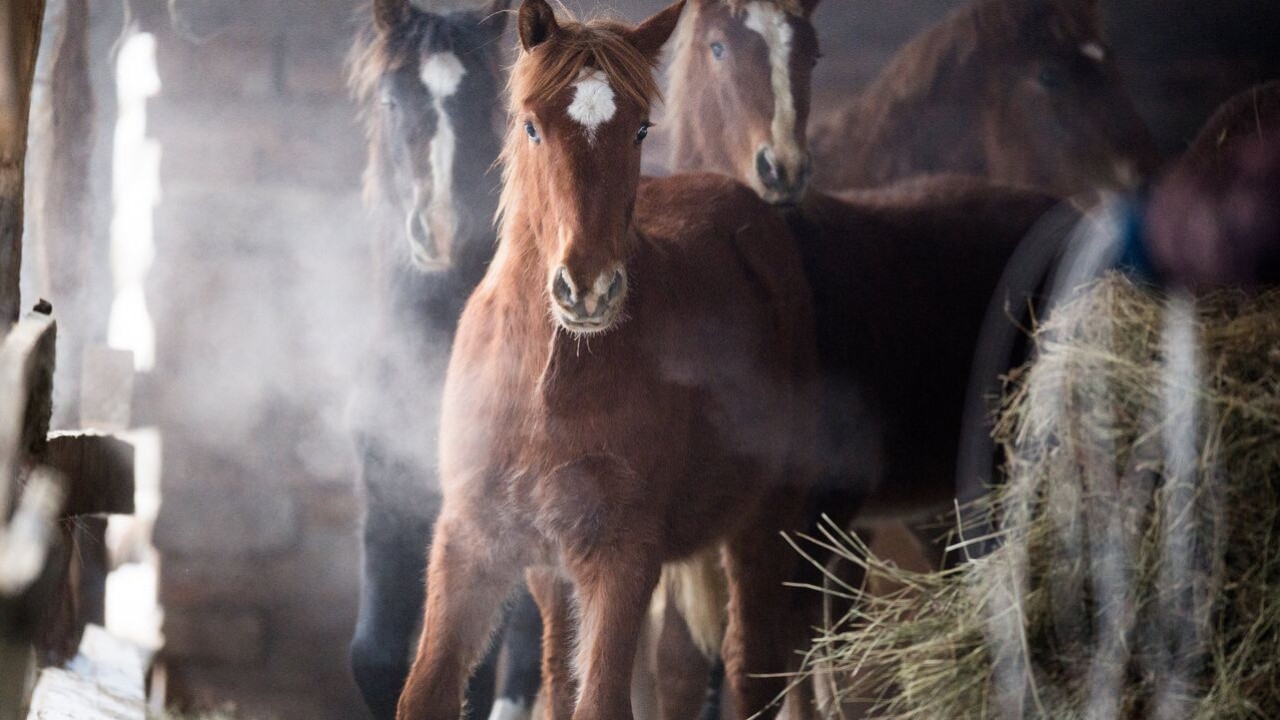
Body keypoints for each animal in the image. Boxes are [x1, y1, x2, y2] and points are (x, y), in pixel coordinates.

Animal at [394, 2, 819, 712]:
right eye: (531, 125)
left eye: (641, 127)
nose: (587, 287)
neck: (546, 384)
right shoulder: (471, 541)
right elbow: (427, 691)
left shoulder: (623, 556)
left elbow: (601, 700)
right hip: (557, 574)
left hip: (761, 524)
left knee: (751, 662)